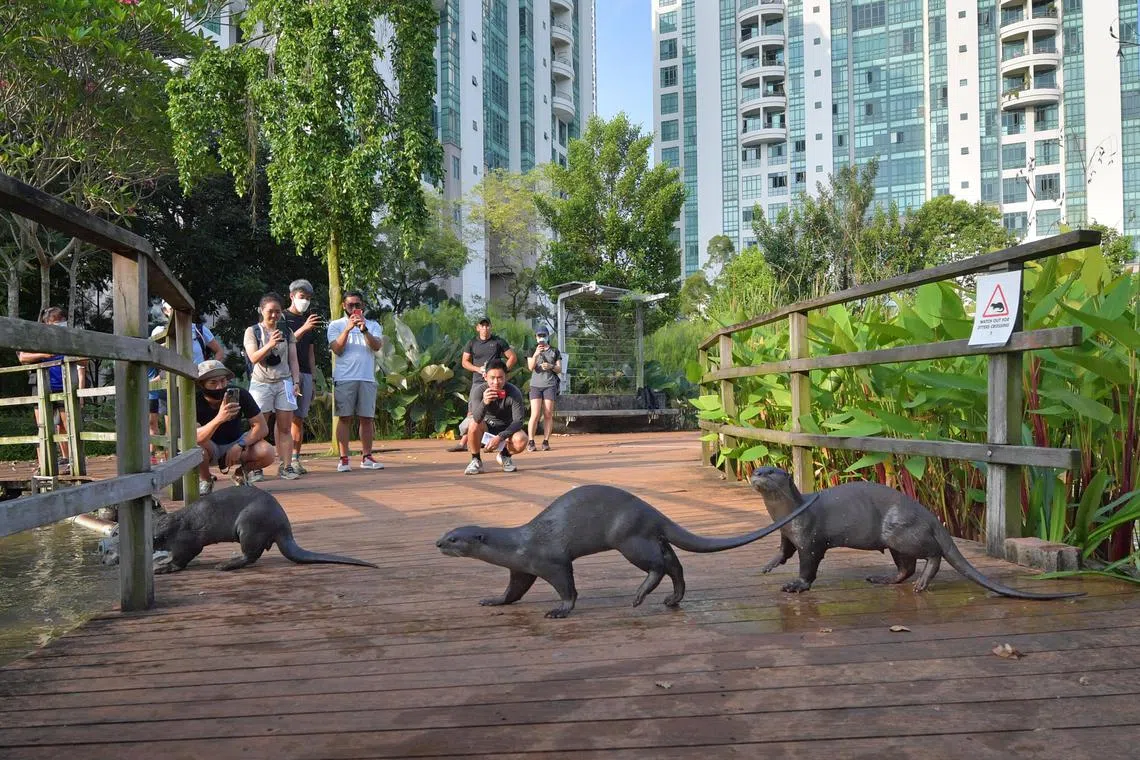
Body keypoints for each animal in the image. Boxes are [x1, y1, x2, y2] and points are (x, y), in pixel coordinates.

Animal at [436, 483, 819, 618]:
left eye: (455, 539)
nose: (438, 542)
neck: (518, 544)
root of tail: (652, 511)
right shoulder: (521, 568)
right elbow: (513, 590)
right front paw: (494, 600)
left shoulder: (551, 561)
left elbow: (567, 586)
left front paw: (561, 610)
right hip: (648, 537)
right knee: (674, 563)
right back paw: (672, 599)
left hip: (629, 539)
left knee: (659, 565)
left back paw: (639, 597)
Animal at [748, 466, 1084, 600]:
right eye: (757, 469)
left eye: (772, 472)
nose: (756, 474)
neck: (789, 515)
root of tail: (930, 515)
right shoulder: (787, 534)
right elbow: (783, 551)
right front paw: (769, 564)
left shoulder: (811, 539)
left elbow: (808, 566)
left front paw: (796, 585)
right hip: (897, 541)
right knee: (905, 567)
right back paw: (883, 579)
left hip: (901, 532)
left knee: (933, 554)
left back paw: (923, 583)